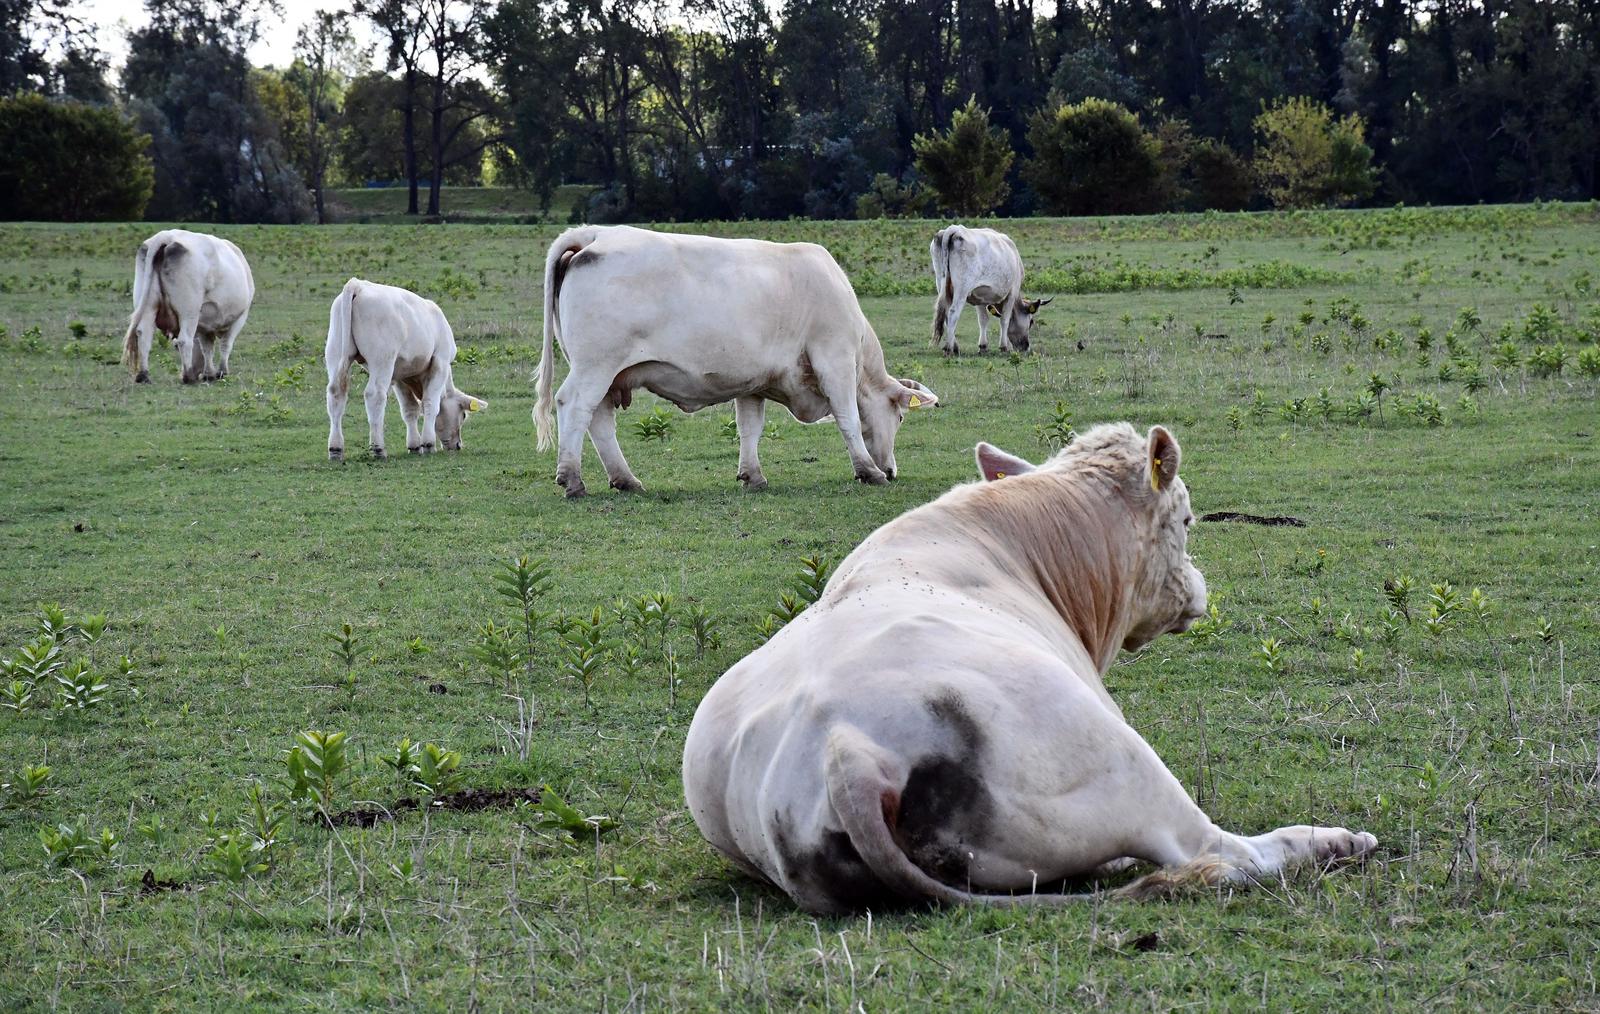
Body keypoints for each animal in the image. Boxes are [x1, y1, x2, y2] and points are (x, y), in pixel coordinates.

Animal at [121, 227, 254, 380]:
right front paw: (221, 372)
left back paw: (144, 375)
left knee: (144, 334)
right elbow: (225, 345)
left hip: (148, 305)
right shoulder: (240, 318)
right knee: (184, 340)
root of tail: (166, 236)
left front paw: (209, 373)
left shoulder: (204, 325)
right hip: (189, 310)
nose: (197, 372)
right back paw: (188, 377)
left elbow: (206, 347)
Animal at [318, 276, 480, 457]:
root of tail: (358, 285)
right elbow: (431, 403)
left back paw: (336, 448)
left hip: (336, 353)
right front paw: (428, 444)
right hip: (382, 360)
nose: (458, 445)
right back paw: (378, 448)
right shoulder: (441, 362)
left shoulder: (400, 375)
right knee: (375, 395)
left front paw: (414, 445)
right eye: (463, 415)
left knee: (336, 394)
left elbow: (410, 409)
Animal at [537, 228, 934, 499]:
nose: (892, 470)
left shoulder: (753, 382)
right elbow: (848, 418)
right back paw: (572, 479)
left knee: (600, 420)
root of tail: (596, 233)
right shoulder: (834, 359)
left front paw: (752, 475)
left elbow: (749, 428)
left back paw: (626, 479)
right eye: (900, 417)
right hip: (595, 366)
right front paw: (868, 471)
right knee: (574, 405)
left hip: (608, 374)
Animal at [684, 422, 1376, 914]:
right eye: (1185, 519)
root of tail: (845, 746)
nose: (1199, 589)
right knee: (1217, 851)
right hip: (1117, 758)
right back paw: (1334, 842)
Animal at [928, 223, 1049, 355]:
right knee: (952, 313)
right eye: (1031, 322)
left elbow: (983, 320)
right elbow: (1005, 320)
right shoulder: (1012, 293)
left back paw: (955, 347)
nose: (1026, 346)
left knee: (945, 313)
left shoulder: (979, 296)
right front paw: (1004, 347)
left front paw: (983, 346)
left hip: (941, 284)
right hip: (962, 288)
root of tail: (955, 229)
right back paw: (949, 348)